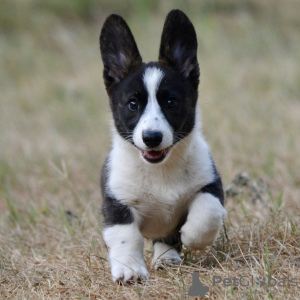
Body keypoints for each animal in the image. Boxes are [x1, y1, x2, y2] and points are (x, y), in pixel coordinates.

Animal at [99, 8, 226, 284]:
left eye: (171, 102)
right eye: (133, 104)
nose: (152, 137)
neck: (160, 171)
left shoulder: (211, 183)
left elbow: (207, 212)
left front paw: (191, 236)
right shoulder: (117, 202)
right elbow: (126, 236)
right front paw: (130, 270)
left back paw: (167, 258)